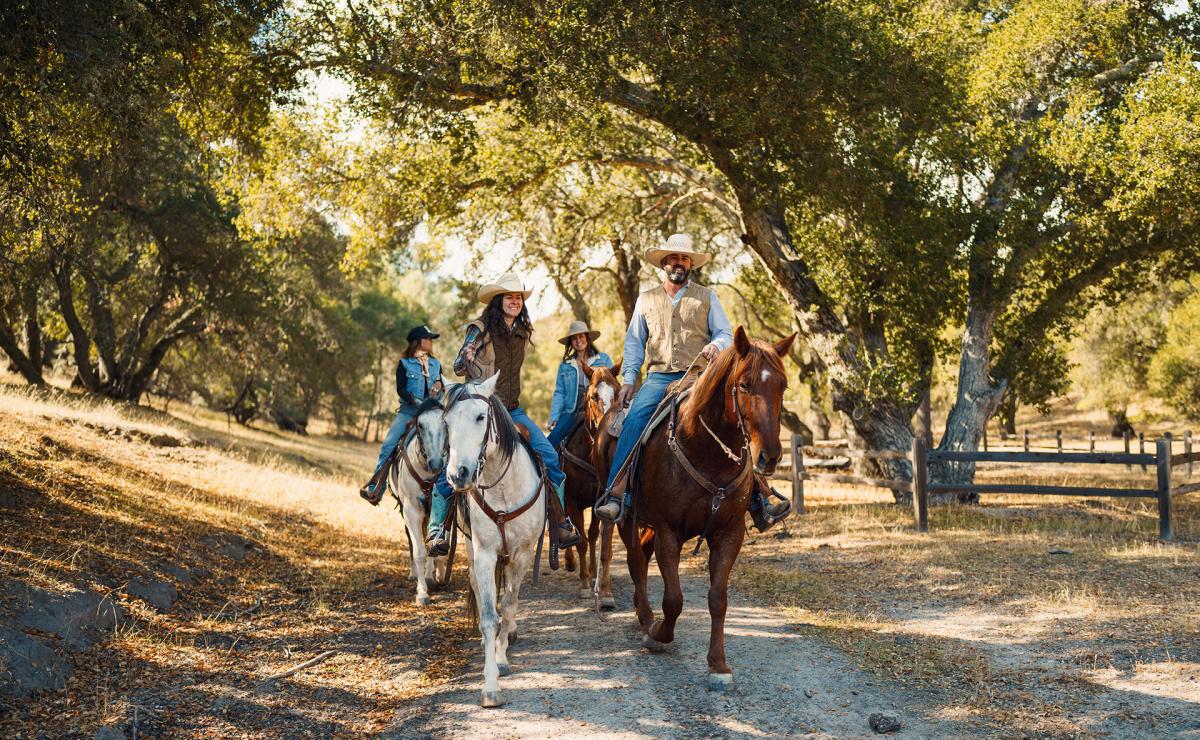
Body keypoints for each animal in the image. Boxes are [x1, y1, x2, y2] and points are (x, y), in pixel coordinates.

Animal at [388, 400, 451, 602]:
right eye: (420, 425)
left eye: (445, 424)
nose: (437, 463)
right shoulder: (411, 511)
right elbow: (419, 552)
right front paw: (422, 592)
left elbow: (435, 544)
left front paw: (435, 576)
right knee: (412, 540)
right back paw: (414, 573)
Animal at [444, 371, 547, 705]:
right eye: (447, 421)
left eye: (480, 417)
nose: (458, 475)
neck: (502, 487)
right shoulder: (485, 553)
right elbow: (490, 614)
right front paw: (490, 685)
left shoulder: (522, 554)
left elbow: (509, 603)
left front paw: (501, 657)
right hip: (470, 547)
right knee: (478, 588)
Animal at [556, 357, 624, 606]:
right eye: (593, 396)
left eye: (617, 391)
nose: (609, 424)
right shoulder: (573, 501)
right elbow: (582, 540)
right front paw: (585, 583)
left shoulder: (598, 501)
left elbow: (594, 534)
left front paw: (594, 574)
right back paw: (569, 561)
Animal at [614, 326, 792, 690]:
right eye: (744, 384)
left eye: (782, 385)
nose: (769, 456)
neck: (705, 450)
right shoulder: (668, 531)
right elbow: (674, 599)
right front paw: (659, 633)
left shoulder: (729, 533)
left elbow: (718, 599)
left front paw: (718, 665)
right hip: (628, 521)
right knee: (636, 564)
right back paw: (645, 617)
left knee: (642, 558)